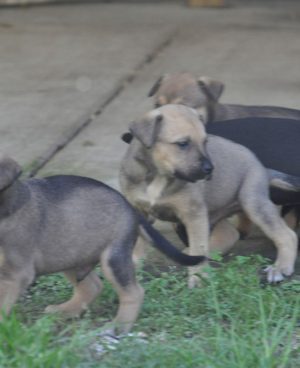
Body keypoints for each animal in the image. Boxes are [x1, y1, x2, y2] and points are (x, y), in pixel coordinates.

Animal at [0, 155, 205, 334]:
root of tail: (131, 208)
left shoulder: (16, 274)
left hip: (113, 258)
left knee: (134, 292)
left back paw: (119, 326)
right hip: (69, 255)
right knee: (92, 287)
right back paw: (65, 311)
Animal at [119, 103, 298, 288]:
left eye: (205, 142)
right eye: (183, 144)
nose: (210, 169)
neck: (159, 176)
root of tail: (260, 165)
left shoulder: (194, 214)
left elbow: (198, 247)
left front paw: (198, 279)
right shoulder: (140, 212)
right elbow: (138, 245)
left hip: (253, 202)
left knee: (287, 235)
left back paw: (280, 267)